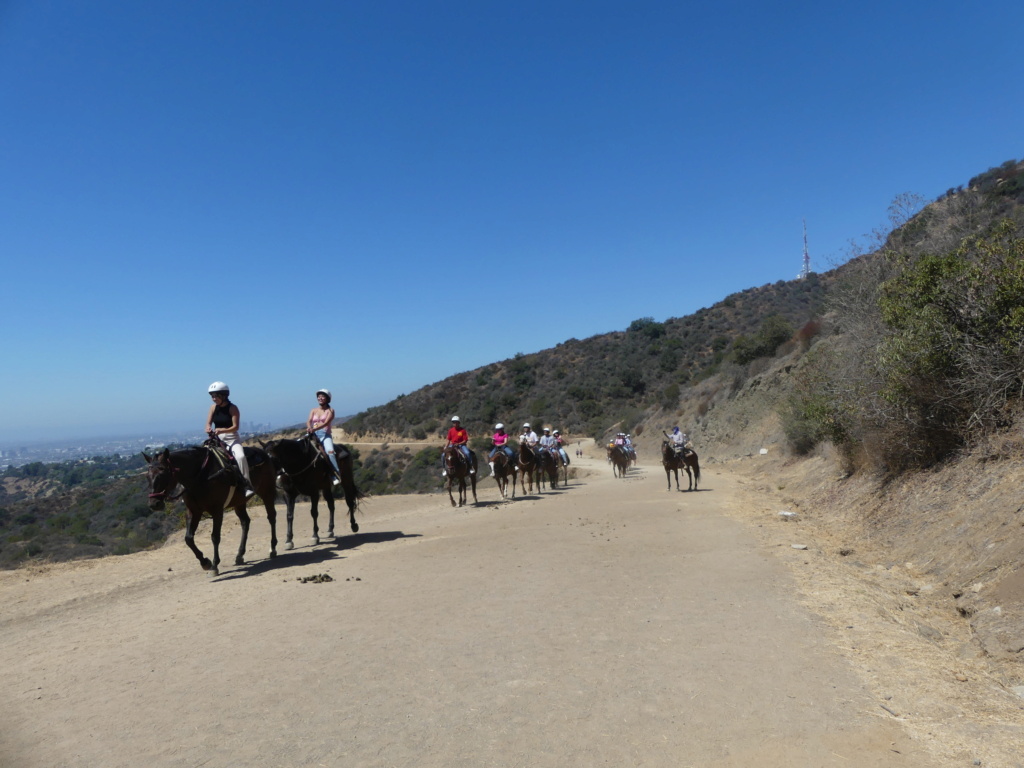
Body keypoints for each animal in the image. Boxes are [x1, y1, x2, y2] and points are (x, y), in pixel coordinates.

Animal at [144, 442, 278, 573]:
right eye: (147, 477)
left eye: (163, 474)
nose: (154, 504)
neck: (200, 476)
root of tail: (262, 452)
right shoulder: (193, 512)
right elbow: (188, 538)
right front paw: (205, 562)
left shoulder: (217, 511)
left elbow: (215, 537)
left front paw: (214, 564)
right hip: (239, 503)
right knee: (245, 522)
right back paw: (240, 555)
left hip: (267, 492)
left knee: (271, 517)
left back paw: (273, 548)